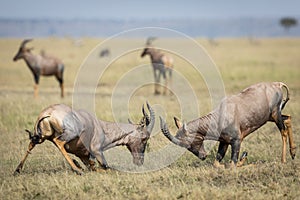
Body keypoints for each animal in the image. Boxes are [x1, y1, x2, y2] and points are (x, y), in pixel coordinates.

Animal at [14, 102, 155, 174]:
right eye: (144, 138)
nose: (139, 161)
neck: (100, 126)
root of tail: (48, 113)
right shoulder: (97, 151)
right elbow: (106, 167)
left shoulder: (84, 157)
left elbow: (93, 166)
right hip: (69, 134)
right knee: (59, 142)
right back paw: (77, 169)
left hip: (41, 136)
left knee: (31, 144)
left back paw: (17, 170)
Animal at [159, 82, 296, 168]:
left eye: (189, 142)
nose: (203, 156)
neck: (221, 116)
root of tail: (276, 84)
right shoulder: (224, 142)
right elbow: (217, 164)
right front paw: (243, 158)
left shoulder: (237, 141)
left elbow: (232, 165)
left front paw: (247, 161)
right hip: (270, 117)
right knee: (288, 118)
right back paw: (293, 153)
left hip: (275, 114)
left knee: (283, 131)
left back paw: (283, 160)